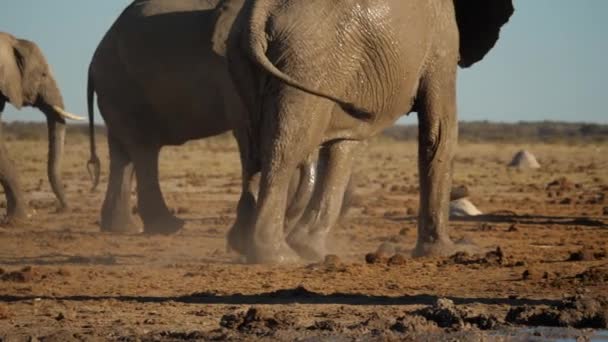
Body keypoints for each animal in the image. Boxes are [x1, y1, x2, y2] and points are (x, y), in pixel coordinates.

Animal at [86, 0, 352, 235]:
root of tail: (93, 60)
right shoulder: (230, 68)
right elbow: (249, 128)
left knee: (122, 152)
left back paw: (123, 228)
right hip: (121, 82)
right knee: (144, 149)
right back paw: (167, 227)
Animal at [226, 0, 516, 264]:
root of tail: (259, 13)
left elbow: (343, 145)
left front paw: (310, 248)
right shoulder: (442, 38)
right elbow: (439, 132)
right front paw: (448, 251)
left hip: (249, 60)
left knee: (254, 151)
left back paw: (246, 245)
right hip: (306, 58)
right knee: (286, 148)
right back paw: (277, 256)